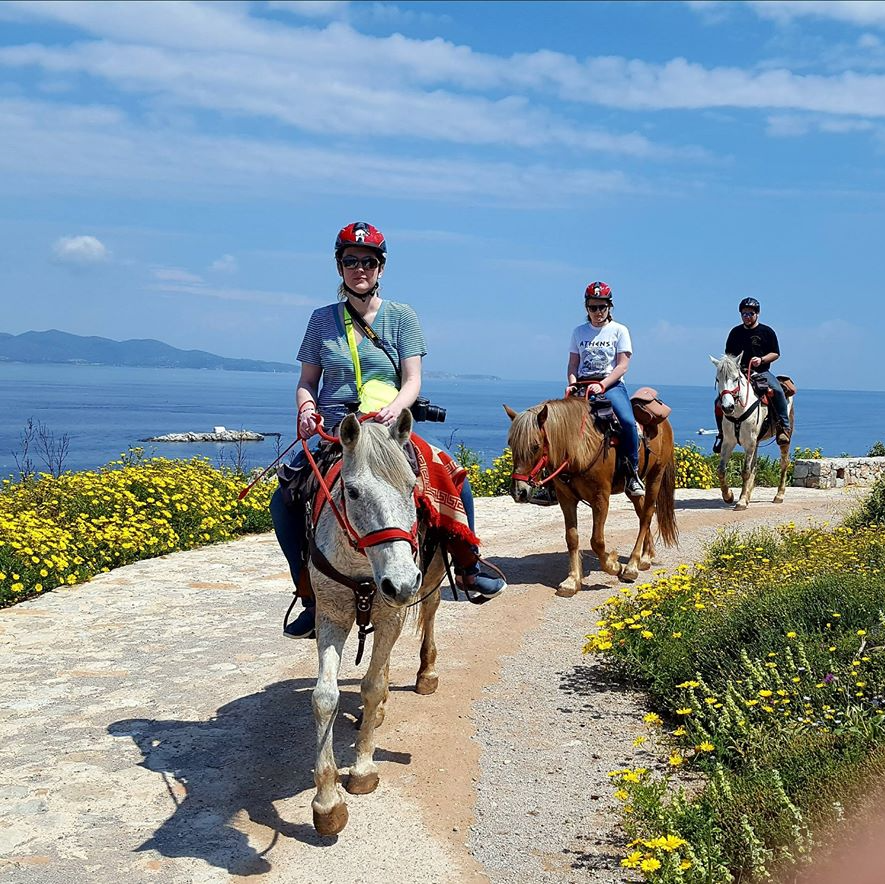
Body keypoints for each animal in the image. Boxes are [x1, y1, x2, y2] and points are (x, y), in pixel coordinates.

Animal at [307, 410, 444, 836]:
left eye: (412, 487)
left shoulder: (391, 614)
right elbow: (325, 697)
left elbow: (371, 686)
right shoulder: (331, 616)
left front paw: (363, 769)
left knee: (429, 611)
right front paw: (327, 801)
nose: (400, 583)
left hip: (430, 578)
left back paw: (426, 673)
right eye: (352, 492)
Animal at [504, 396, 678, 590]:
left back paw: (632, 565)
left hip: (656, 475)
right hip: (631, 488)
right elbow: (572, 537)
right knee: (642, 514)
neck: (579, 448)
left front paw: (614, 566)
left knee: (647, 514)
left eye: (535, 446)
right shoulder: (566, 499)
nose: (519, 492)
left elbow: (597, 541)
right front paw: (572, 581)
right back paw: (646, 556)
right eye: (511, 444)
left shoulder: (600, 499)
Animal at [710, 353, 794, 510]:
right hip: (756, 442)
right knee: (755, 467)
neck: (738, 412)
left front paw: (742, 500)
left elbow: (746, 471)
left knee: (784, 464)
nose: (727, 407)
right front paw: (728, 495)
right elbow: (721, 470)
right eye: (718, 379)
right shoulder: (728, 442)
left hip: (785, 435)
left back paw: (779, 495)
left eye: (736, 378)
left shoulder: (749, 443)